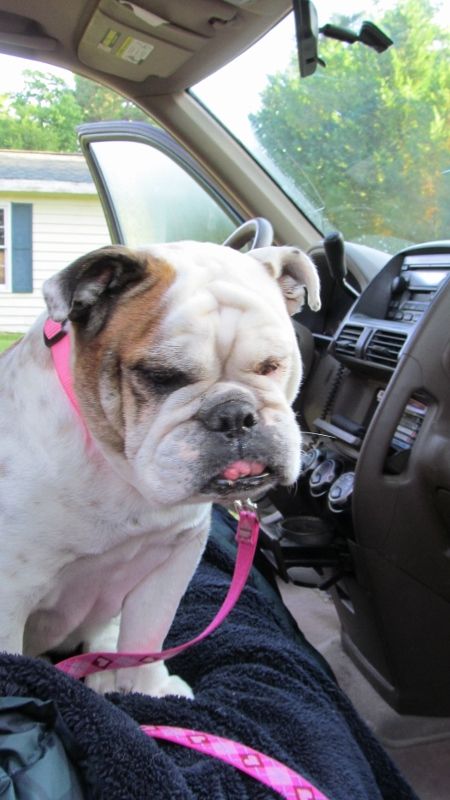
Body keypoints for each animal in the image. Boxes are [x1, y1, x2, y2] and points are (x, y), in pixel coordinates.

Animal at [0, 241, 320, 697]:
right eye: (162, 376)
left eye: (272, 365)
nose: (235, 414)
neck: (121, 471)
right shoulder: (9, 595)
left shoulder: (173, 559)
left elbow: (148, 637)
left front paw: (148, 689)